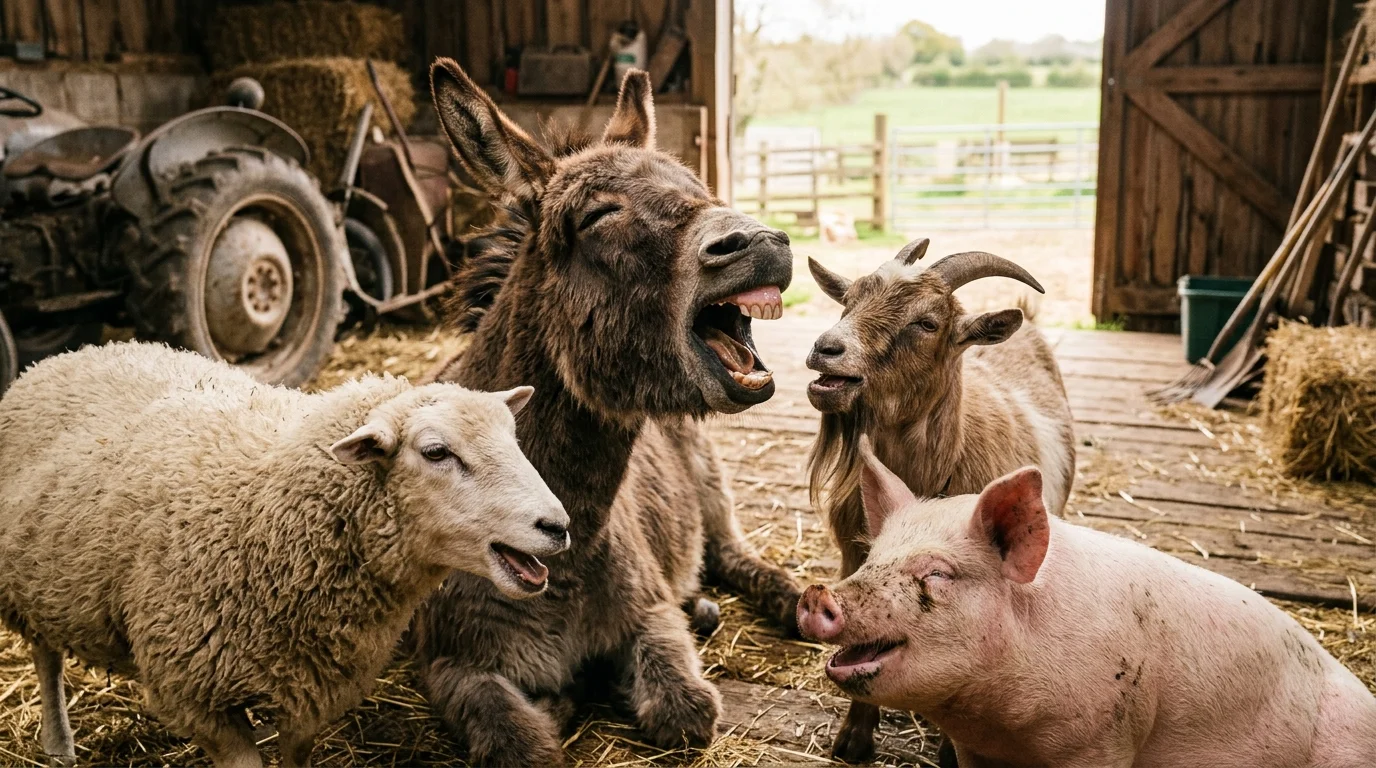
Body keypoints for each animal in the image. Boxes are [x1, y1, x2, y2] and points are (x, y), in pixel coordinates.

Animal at [797, 439, 1376, 767]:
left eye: (937, 573)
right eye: (873, 557)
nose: (816, 593)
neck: (999, 722)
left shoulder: (1104, 738)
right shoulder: (979, 751)